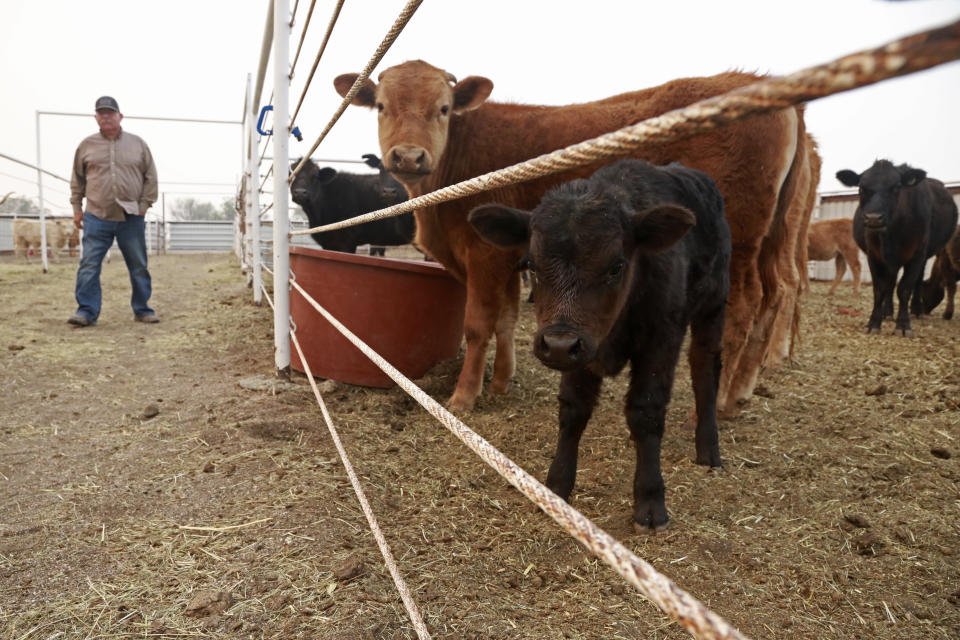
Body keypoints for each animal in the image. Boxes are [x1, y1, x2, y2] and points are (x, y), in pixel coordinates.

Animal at [336, 60, 816, 410]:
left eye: (444, 108)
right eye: (382, 106)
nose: (409, 156)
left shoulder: (482, 254)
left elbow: (477, 325)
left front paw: (463, 397)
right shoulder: (511, 254)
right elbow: (507, 318)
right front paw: (501, 384)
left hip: (740, 237)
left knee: (746, 305)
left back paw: (720, 399)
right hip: (772, 238)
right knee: (775, 294)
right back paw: (743, 389)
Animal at [466, 160, 728, 528]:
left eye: (617, 266)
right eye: (530, 264)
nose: (558, 343)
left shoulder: (661, 341)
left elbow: (646, 411)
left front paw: (650, 502)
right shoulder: (580, 354)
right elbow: (574, 410)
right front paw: (556, 487)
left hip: (712, 306)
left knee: (705, 368)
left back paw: (708, 449)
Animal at [836, 159, 956, 336]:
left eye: (896, 187)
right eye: (862, 187)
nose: (873, 218)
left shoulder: (917, 254)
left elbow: (905, 288)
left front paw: (903, 325)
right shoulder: (874, 254)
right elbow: (880, 288)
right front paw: (874, 322)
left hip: (923, 256)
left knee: (917, 281)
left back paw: (916, 310)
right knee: (890, 283)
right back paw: (887, 313)